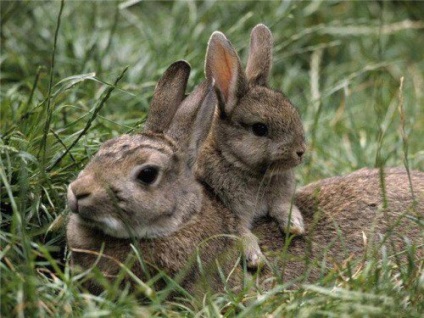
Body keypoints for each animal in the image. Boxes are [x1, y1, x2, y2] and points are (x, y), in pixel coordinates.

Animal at [195, 23, 308, 270]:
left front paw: (295, 225)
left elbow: (282, 207)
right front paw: (255, 258)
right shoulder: (231, 211)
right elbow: (241, 233)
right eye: (260, 129)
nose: (300, 152)